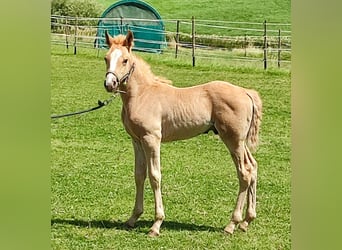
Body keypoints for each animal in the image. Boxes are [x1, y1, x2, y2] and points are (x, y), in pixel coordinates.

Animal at [103, 30, 264, 235]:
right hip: (241, 142)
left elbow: (155, 176)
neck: (142, 94)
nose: (110, 83)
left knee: (244, 173)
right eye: (106, 58)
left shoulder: (151, 139)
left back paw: (232, 224)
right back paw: (246, 221)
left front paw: (156, 224)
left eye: (125, 60)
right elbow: (139, 175)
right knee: (253, 167)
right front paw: (133, 218)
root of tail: (246, 92)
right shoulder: (137, 140)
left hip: (233, 140)